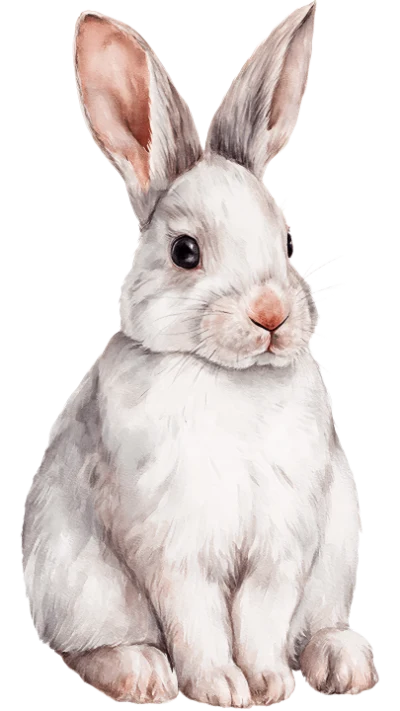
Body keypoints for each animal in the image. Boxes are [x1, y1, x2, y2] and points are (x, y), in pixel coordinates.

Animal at [21, 3, 379, 707]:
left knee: (313, 626)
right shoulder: (175, 550)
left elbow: (262, 616)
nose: (271, 313)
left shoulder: (282, 545)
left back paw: (344, 662)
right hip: (78, 589)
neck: (229, 377)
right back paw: (140, 672)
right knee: (80, 647)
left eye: (287, 239)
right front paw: (221, 688)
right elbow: (198, 619)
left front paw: (267, 683)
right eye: (184, 252)